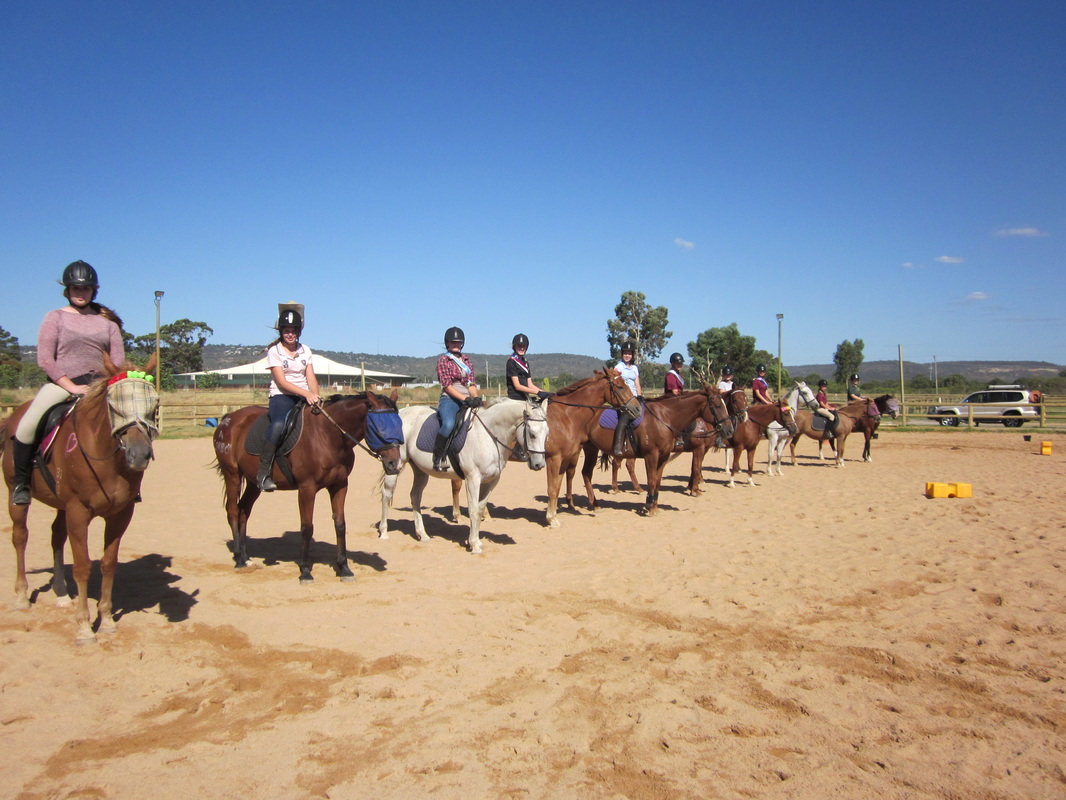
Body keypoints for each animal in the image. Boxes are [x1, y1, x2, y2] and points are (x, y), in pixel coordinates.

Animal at [2, 356, 158, 644]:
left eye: (154, 404)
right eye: (112, 405)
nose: (139, 454)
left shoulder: (120, 515)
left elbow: (109, 564)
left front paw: (106, 620)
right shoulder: (78, 511)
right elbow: (83, 567)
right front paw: (85, 627)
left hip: (62, 507)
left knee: (56, 537)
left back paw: (62, 593)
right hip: (14, 495)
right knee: (20, 537)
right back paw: (21, 595)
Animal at [213, 390, 402, 584]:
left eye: (400, 424)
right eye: (378, 427)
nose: (394, 464)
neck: (328, 436)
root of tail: (229, 419)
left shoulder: (340, 485)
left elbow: (340, 524)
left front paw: (344, 568)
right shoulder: (307, 488)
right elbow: (306, 527)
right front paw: (305, 571)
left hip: (253, 482)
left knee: (244, 510)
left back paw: (245, 557)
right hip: (232, 474)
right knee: (233, 510)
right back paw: (238, 558)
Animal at [379, 396, 550, 558]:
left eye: (547, 433)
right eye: (532, 435)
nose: (539, 464)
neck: (488, 435)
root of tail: (401, 413)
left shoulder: (491, 481)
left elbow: (480, 510)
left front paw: (477, 541)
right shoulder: (472, 479)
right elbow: (473, 510)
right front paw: (474, 545)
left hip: (420, 470)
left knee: (415, 496)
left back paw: (422, 534)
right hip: (396, 465)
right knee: (386, 495)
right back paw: (384, 532)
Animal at [545, 371, 635, 533]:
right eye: (620, 386)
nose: (637, 408)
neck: (565, 416)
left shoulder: (563, 458)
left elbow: (557, 486)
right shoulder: (553, 458)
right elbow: (552, 489)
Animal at [579, 386, 737, 514]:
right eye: (717, 406)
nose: (730, 430)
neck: (664, 419)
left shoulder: (664, 456)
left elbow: (658, 481)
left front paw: (654, 505)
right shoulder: (653, 455)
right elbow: (653, 480)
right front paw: (650, 507)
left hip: (594, 449)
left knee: (588, 473)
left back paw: (597, 503)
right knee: (600, 469)